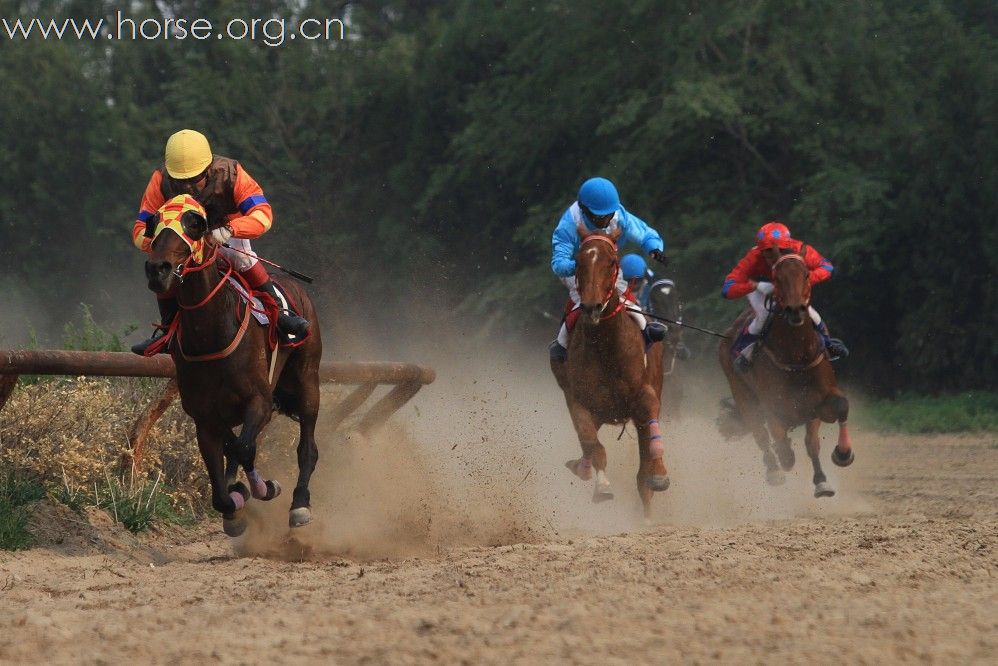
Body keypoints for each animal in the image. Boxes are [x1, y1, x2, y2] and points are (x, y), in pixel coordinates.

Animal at [145, 205, 322, 532]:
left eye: (195, 225)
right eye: (154, 223)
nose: (157, 269)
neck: (211, 332)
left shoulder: (259, 400)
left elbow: (243, 448)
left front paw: (263, 488)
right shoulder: (204, 416)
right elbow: (226, 466)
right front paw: (234, 500)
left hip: (307, 381)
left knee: (307, 447)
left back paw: (299, 504)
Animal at [556, 223, 672, 512]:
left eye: (611, 261)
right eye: (578, 262)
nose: (592, 306)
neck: (606, 348)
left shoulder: (644, 394)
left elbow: (649, 458)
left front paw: (659, 475)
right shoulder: (579, 400)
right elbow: (591, 443)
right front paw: (601, 485)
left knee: (643, 476)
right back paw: (581, 466)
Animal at [724, 252, 856, 496]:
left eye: (806, 275)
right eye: (777, 278)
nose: (796, 309)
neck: (797, 358)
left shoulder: (817, 404)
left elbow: (832, 418)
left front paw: (838, 460)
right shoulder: (774, 406)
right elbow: (782, 445)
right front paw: (784, 461)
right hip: (742, 394)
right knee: (760, 433)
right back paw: (774, 471)